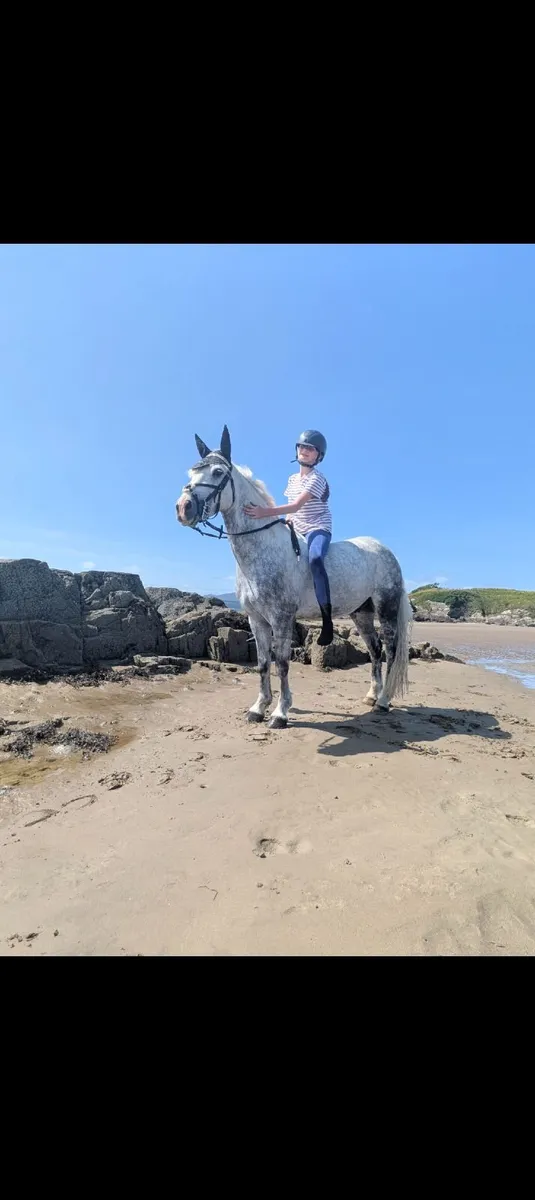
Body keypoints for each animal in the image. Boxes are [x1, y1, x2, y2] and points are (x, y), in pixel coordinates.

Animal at [176, 426, 412, 729]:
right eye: (191, 473)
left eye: (217, 472)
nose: (183, 508)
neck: (263, 548)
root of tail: (383, 549)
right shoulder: (256, 620)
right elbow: (264, 663)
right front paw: (258, 708)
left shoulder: (281, 618)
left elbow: (282, 663)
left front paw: (280, 712)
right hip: (361, 613)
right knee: (375, 649)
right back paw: (372, 696)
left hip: (386, 609)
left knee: (391, 650)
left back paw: (383, 701)